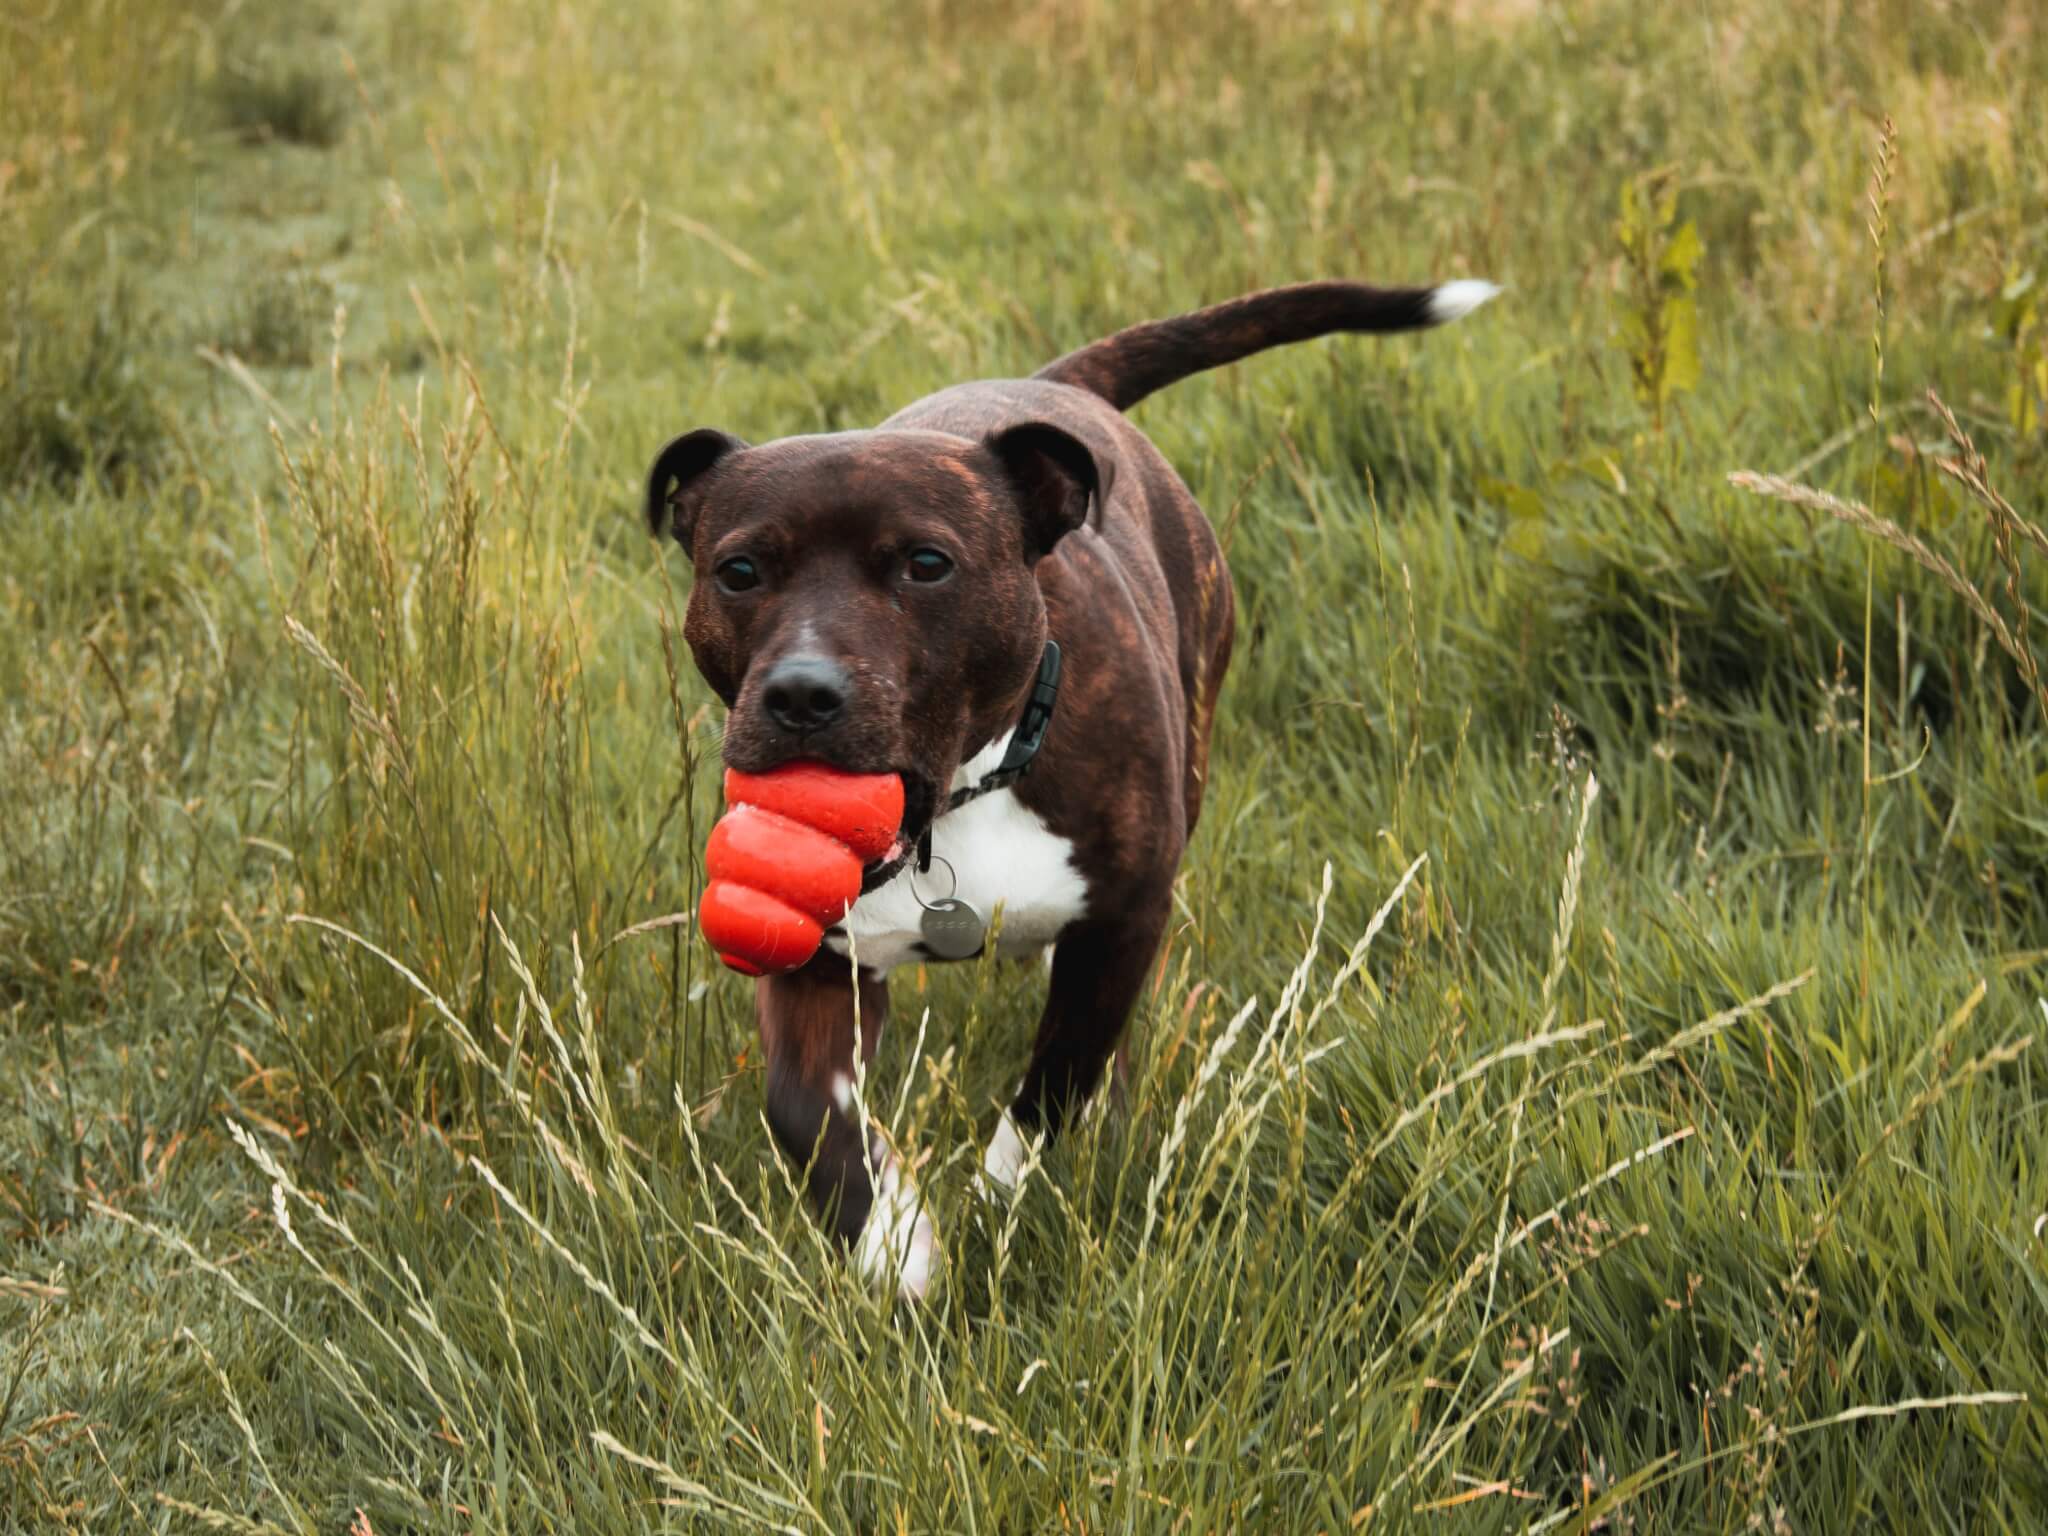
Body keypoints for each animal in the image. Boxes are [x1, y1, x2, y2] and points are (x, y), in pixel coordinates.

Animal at [647, 280, 1499, 1302]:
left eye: (926, 564)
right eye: (738, 571)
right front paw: (893, 1241)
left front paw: (998, 1200)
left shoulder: (1125, 921)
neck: (963, 804)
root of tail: (1056, 386)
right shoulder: (818, 960)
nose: (802, 694)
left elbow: (1056, 1084)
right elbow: (804, 1109)